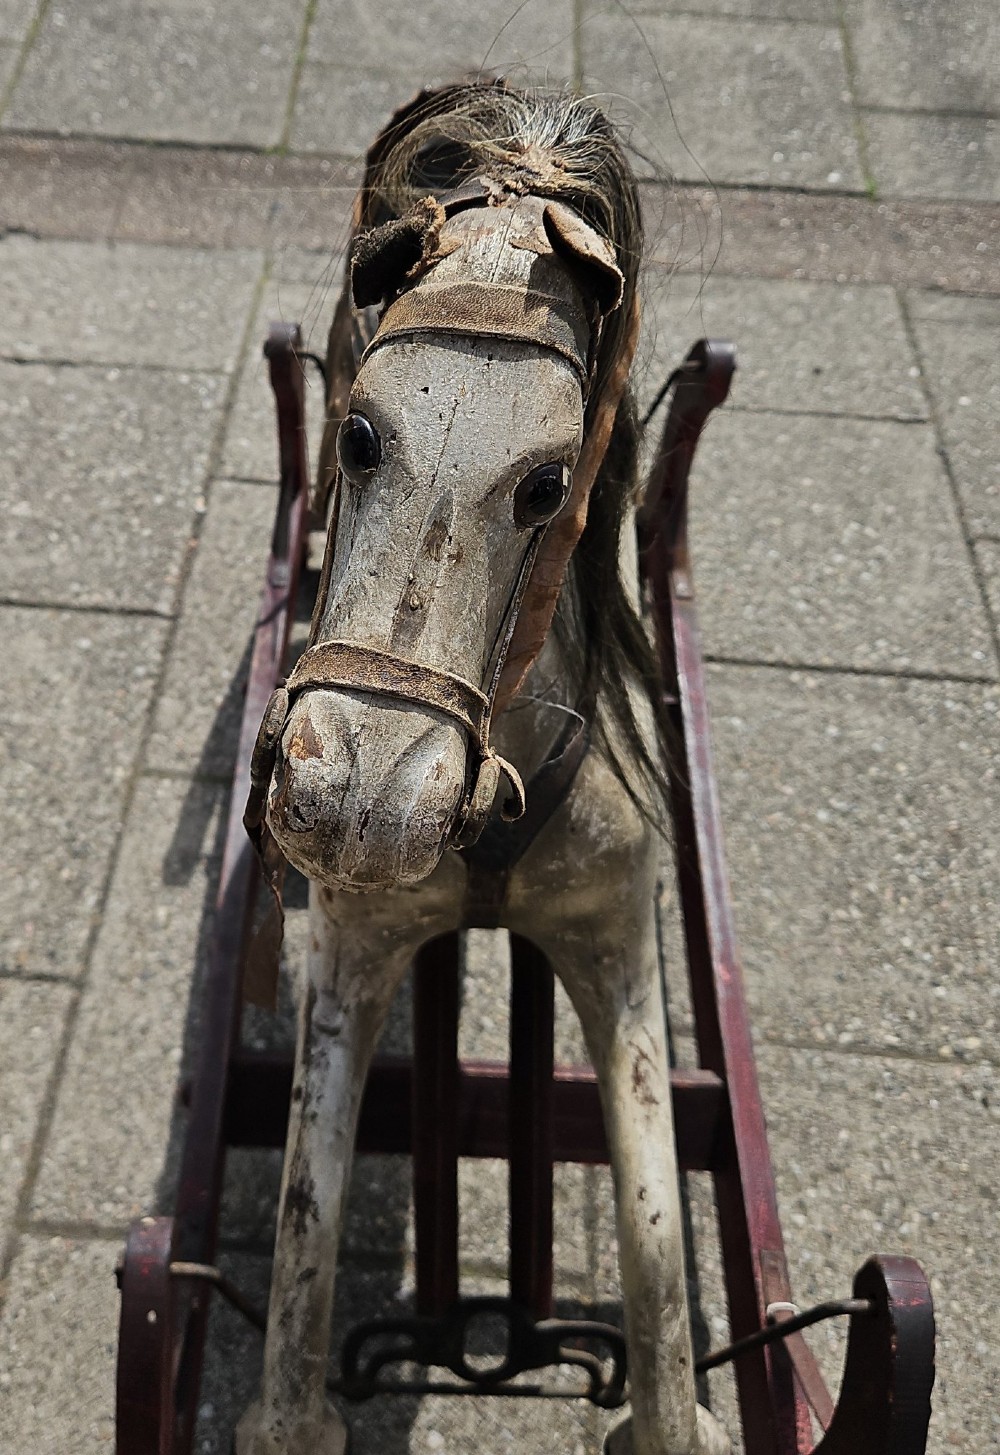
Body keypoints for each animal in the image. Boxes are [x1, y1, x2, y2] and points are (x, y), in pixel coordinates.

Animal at [236, 80, 731, 1455]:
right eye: (358, 434)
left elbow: (661, 1276)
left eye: (547, 484)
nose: (358, 802)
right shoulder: (354, 949)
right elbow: (294, 1305)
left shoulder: (616, 937)